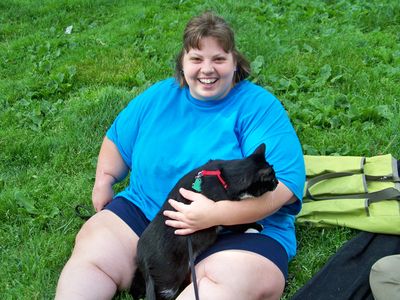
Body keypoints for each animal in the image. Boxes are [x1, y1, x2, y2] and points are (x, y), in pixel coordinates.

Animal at [130, 144, 276, 300]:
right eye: (273, 180)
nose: (278, 183)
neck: (224, 176)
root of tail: (144, 260)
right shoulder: (222, 212)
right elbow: (237, 223)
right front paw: (254, 227)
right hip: (169, 278)